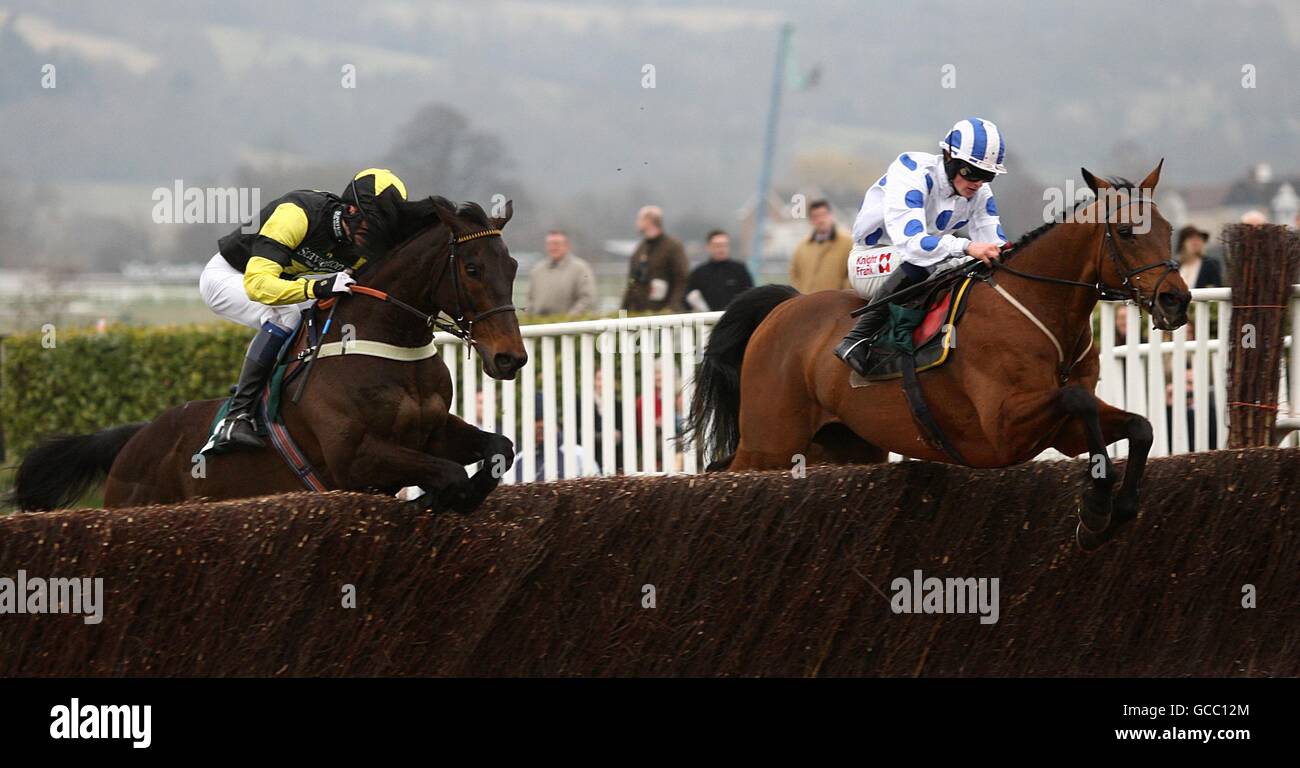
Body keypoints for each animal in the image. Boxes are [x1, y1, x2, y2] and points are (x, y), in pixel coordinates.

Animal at [13, 194, 522, 514]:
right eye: (472, 268)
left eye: (513, 266)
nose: (510, 358)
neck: (386, 341)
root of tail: (135, 439)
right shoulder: (354, 457)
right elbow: (449, 473)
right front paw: (434, 498)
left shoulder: (430, 431)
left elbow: (500, 449)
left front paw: (456, 497)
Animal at [691, 163, 1190, 545]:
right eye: (1126, 232)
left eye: (1168, 230)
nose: (1176, 301)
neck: (1040, 307)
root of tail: (783, 306)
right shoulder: (1003, 426)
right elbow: (1078, 399)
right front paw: (1098, 504)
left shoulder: (1060, 432)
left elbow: (1140, 427)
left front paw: (1112, 512)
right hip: (770, 442)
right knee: (723, 470)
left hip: (842, 445)